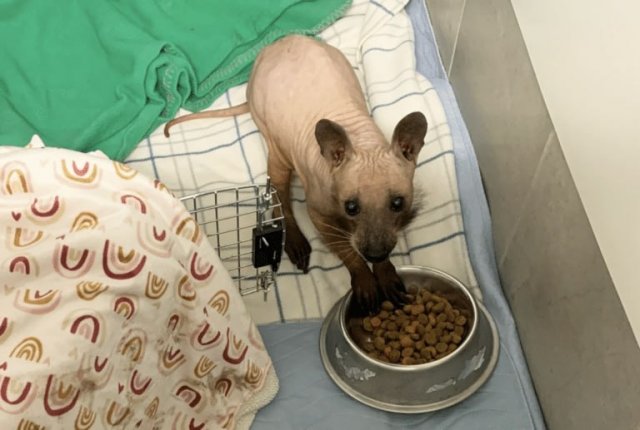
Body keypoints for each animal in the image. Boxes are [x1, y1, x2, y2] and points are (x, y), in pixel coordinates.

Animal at [165, 35, 427, 313]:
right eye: (351, 207)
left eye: (398, 203)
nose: (375, 254)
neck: (362, 139)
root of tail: (276, 45)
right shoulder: (319, 213)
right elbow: (346, 250)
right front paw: (365, 280)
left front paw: (385, 273)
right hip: (275, 140)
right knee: (278, 191)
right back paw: (295, 242)